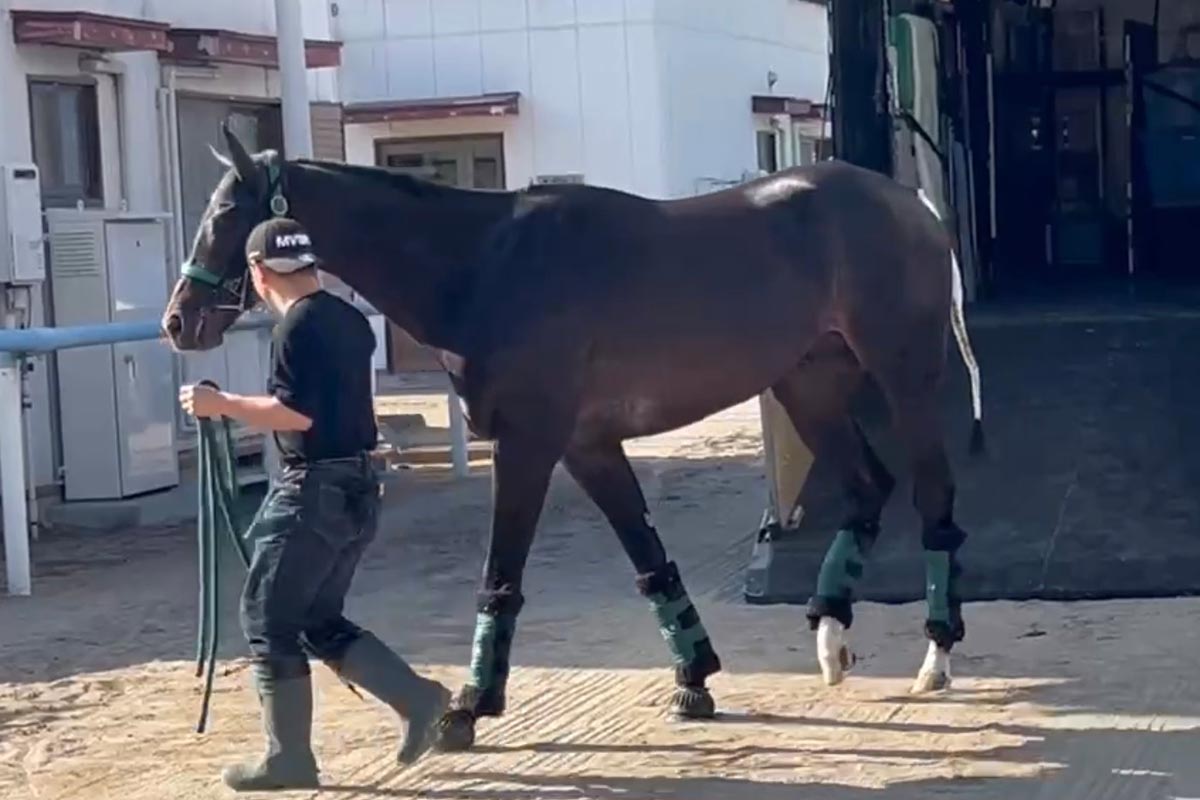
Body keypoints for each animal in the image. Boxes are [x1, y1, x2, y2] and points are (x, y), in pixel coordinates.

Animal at [162, 124, 985, 752]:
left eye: (227, 211)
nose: (178, 321)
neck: (484, 264)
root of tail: (907, 200)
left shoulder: (529, 443)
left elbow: (502, 573)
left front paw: (470, 706)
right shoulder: (588, 446)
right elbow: (650, 561)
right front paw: (694, 679)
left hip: (905, 375)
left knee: (934, 494)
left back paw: (937, 652)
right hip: (806, 383)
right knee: (868, 488)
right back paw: (831, 637)